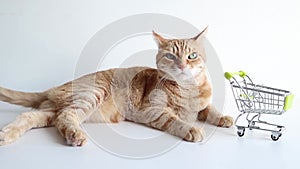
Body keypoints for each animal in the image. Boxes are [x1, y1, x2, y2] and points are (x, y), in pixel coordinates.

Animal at [0, 27, 232, 146]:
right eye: (170, 56)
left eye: (192, 56)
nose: (182, 65)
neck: (188, 90)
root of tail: (56, 87)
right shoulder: (152, 110)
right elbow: (175, 120)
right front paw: (191, 129)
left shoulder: (203, 105)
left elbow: (211, 110)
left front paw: (224, 118)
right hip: (92, 94)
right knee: (66, 116)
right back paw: (76, 135)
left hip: (50, 111)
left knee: (32, 116)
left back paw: (7, 134)